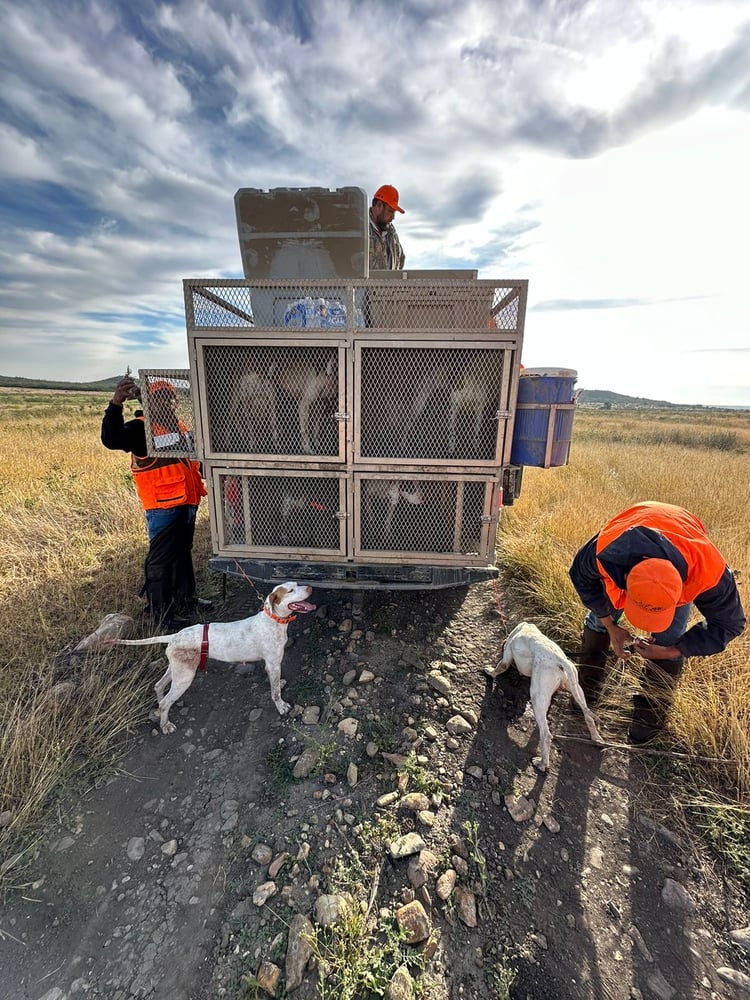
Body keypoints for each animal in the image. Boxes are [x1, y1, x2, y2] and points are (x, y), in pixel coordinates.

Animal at [111, 580, 314, 736]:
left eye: (297, 584)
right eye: (290, 591)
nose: (310, 588)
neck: (273, 620)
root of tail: (175, 635)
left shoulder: (273, 665)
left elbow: (276, 684)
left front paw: (280, 683)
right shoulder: (272, 664)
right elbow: (275, 692)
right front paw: (281, 706)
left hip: (177, 670)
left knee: (159, 686)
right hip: (185, 677)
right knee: (164, 702)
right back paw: (165, 725)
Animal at [488, 616, 604, 772]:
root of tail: (560, 661)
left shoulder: (507, 656)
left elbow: (500, 667)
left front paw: (490, 671)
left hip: (537, 695)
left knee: (546, 734)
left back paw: (542, 764)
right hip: (577, 690)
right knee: (588, 717)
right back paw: (596, 738)